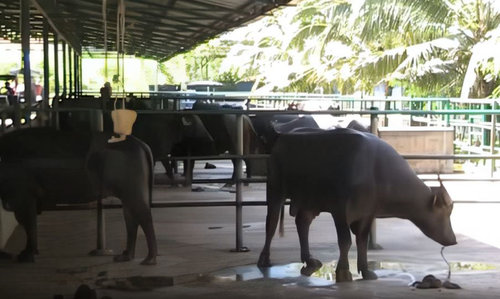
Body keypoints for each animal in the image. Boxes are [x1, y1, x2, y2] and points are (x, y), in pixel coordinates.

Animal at [0, 127, 157, 264]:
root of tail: (143, 145)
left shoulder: (22, 187)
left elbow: (25, 217)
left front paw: (26, 256)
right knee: (130, 214)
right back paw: (125, 257)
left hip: (131, 175)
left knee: (142, 212)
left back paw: (149, 260)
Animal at [258, 129, 458, 284]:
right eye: (445, 212)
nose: (453, 240)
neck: (376, 172)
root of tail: (281, 137)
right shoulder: (339, 210)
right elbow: (345, 241)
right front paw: (344, 272)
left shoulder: (367, 213)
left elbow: (362, 240)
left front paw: (366, 271)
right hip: (275, 189)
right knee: (271, 223)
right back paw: (264, 259)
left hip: (310, 201)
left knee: (302, 222)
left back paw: (310, 261)